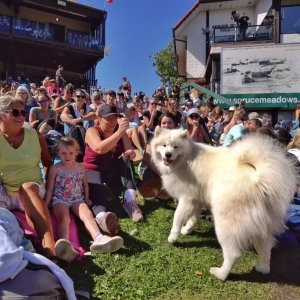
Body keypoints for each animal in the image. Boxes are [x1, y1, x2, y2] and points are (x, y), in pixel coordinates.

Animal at [151, 126, 298, 282]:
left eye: (175, 147)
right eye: (164, 145)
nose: (168, 155)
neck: (187, 159)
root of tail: (259, 179)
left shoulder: (187, 198)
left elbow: (177, 219)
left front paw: (173, 237)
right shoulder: (196, 199)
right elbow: (193, 218)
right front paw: (187, 230)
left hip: (226, 224)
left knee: (233, 254)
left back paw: (220, 274)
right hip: (265, 227)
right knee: (265, 249)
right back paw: (262, 268)